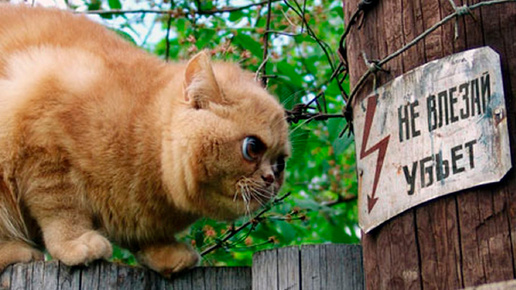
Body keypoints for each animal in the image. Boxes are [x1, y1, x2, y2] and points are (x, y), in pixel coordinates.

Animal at [0, 5, 288, 276]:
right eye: (252, 147)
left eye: (280, 164)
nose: (270, 179)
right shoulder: (44, 150)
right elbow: (61, 208)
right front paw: (75, 242)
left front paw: (165, 251)